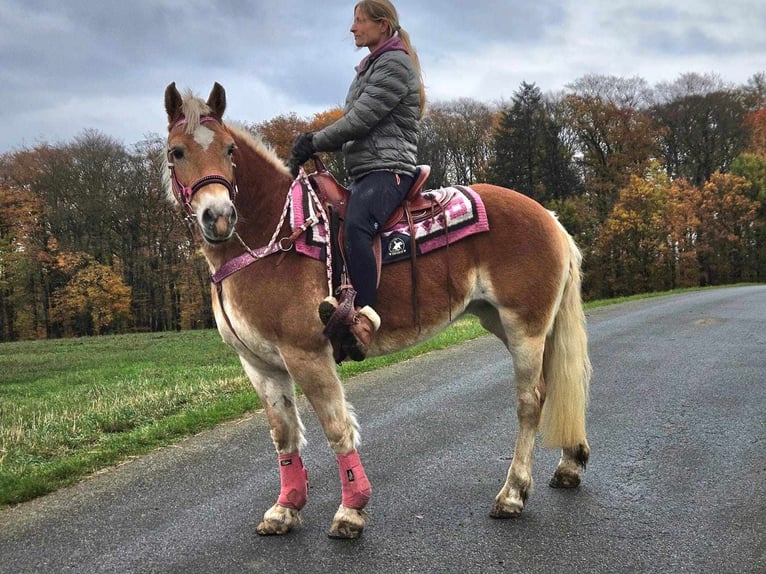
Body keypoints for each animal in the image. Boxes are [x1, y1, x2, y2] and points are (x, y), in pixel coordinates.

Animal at [164, 83, 592, 544]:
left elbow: (336, 428)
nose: (218, 216)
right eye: (176, 152)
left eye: (229, 150)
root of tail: (548, 217)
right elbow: (283, 435)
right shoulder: (260, 364)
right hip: (511, 323)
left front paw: (351, 510)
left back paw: (512, 494)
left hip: (523, 326)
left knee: (531, 401)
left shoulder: (306, 355)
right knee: (556, 382)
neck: (274, 237)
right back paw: (570, 463)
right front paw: (285, 509)